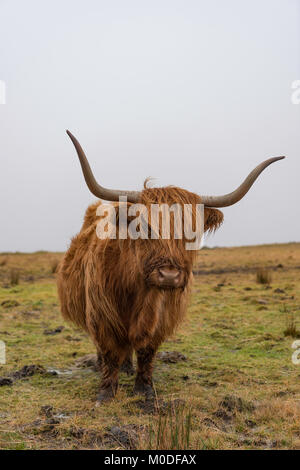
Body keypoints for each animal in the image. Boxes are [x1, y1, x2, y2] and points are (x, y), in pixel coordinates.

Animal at [57, 131, 284, 404]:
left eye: (192, 231)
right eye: (143, 226)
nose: (169, 275)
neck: (138, 291)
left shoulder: (161, 318)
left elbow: (146, 351)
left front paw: (144, 390)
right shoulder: (101, 314)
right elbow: (109, 352)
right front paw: (106, 393)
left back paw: (128, 368)